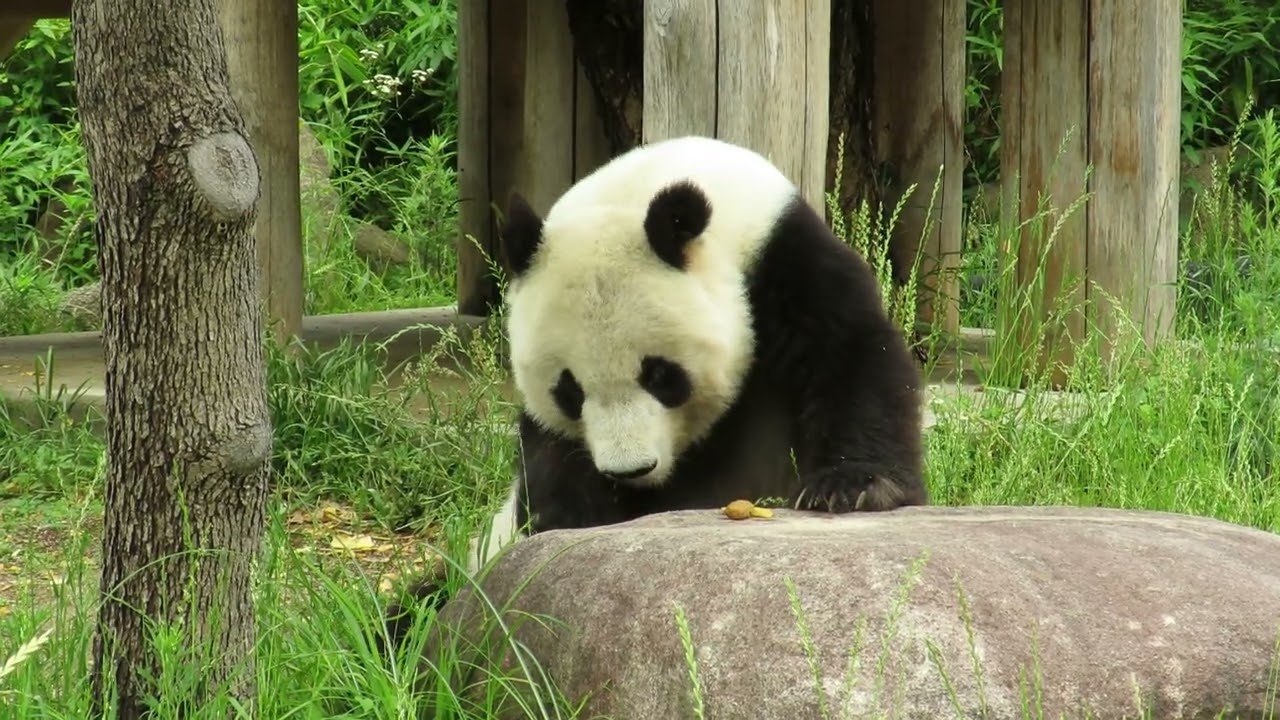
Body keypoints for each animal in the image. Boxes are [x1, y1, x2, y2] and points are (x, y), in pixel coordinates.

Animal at [380, 135, 926, 650]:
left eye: (661, 376)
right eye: (569, 391)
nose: (630, 471)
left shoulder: (788, 260)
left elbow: (851, 354)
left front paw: (851, 487)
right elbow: (546, 459)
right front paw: (578, 514)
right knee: (421, 607)